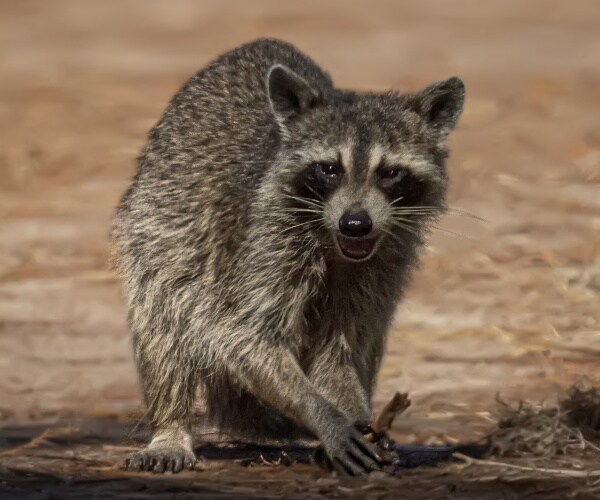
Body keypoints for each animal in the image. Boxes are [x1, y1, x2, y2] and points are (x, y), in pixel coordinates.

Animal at [113, 37, 468, 474]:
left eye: (390, 172)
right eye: (329, 168)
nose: (356, 224)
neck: (335, 242)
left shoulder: (385, 258)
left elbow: (343, 345)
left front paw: (352, 412)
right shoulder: (265, 242)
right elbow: (246, 335)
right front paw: (325, 416)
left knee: (369, 338)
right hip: (158, 224)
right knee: (163, 318)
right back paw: (171, 426)